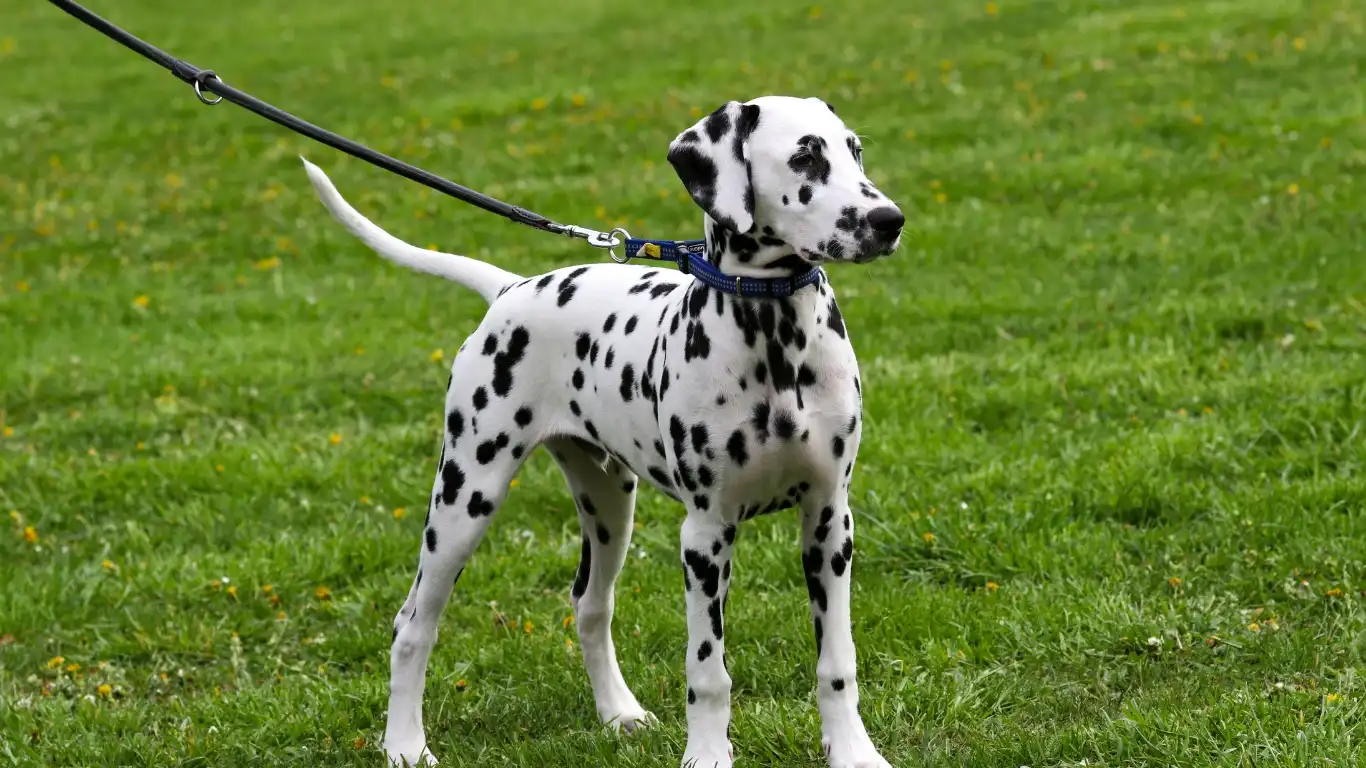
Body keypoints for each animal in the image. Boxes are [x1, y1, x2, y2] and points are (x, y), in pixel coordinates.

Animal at [305, 95, 907, 765]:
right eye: (805, 156)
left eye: (855, 149)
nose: (890, 220)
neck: (776, 342)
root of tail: (511, 288)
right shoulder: (705, 536)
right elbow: (708, 671)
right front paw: (708, 754)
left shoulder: (829, 522)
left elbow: (837, 663)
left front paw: (854, 752)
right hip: (464, 499)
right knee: (413, 624)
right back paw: (406, 745)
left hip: (609, 504)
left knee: (590, 606)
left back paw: (618, 711)